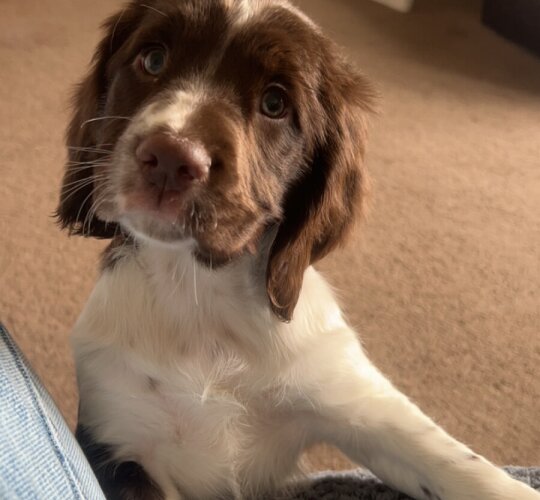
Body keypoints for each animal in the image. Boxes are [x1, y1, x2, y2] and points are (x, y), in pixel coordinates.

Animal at [58, 0, 540, 500]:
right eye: (152, 60)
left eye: (275, 103)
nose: (171, 158)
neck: (200, 296)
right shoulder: (120, 441)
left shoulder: (355, 398)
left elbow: (460, 465)